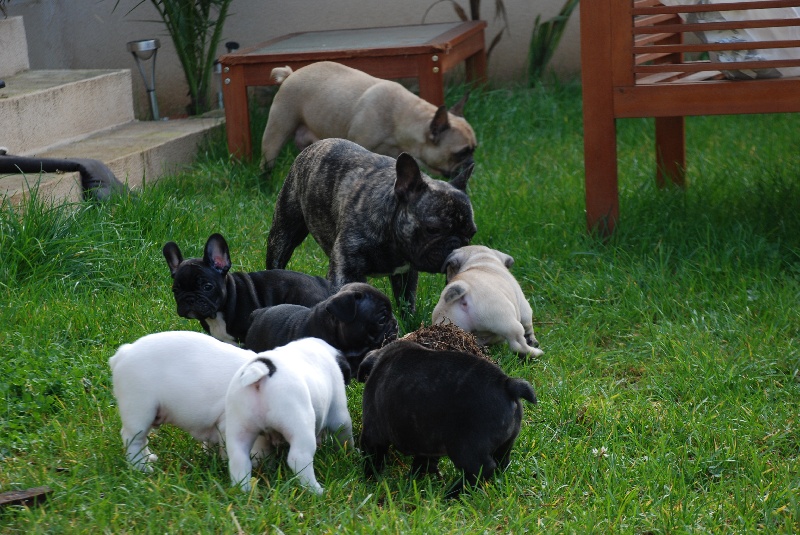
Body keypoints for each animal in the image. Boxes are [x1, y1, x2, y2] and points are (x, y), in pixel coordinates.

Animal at [106, 330, 270, 474]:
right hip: (139, 409)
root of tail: (123, 353)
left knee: (142, 439)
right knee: (132, 438)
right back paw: (141, 467)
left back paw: (149, 458)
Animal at [223, 338, 352, 496]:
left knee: (239, 459)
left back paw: (244, 490)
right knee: (299, 459)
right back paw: (315, 490)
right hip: (298, 423)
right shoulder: (339, 414)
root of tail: (262, 369)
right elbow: (345, 435)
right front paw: (350, 453)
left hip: (240, 425)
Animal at [358, 342, 536, 500]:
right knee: (501, 463)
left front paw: (370, 479)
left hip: (465, 448)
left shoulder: (373, 435)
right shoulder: (425, 443)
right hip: (505, 444)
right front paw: (415, 479)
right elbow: (422, 462)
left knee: (481, 469)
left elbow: (373, 459)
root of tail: (506, 384)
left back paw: (453, 493)